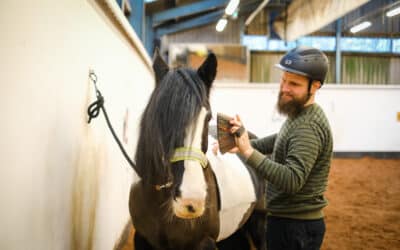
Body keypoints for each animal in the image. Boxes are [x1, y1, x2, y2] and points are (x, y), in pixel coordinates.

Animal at [128, 49, 266, 250]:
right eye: (161, 117)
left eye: (208, 117)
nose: (191, 201)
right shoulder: (141, 239)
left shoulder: (204, 242)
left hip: (259, 221)